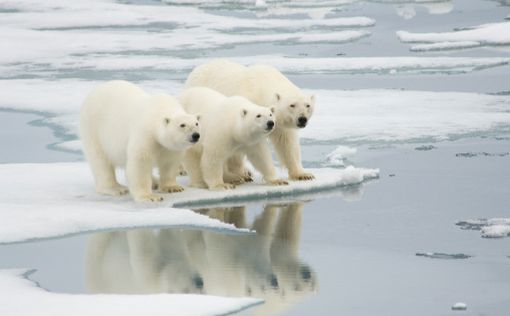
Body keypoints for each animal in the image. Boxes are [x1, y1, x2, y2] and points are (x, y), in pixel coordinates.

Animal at [185, 60, 316, 181]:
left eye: (307, 105)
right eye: (292, 105)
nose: (302, 119)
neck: (261, 88)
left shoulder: (279, 124)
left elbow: (287, 143)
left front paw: (303, 174)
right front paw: (241, 173)